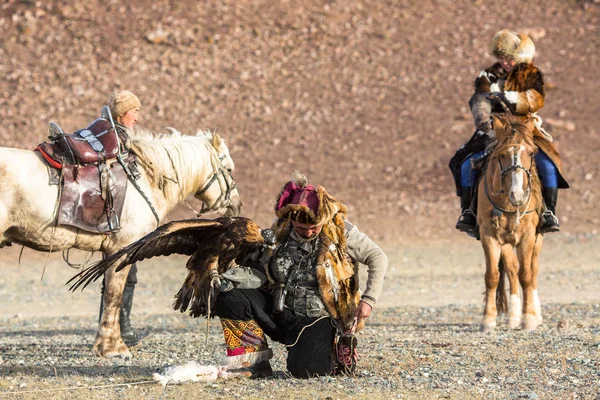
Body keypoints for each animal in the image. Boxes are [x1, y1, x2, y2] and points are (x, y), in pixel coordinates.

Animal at [1, 127, 244, 356]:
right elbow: (114, 294)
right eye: (229, 169)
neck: (146, 178)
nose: (238, 204)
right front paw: (112, 346)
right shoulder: (121, 248)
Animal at [478, 115, 544, 332]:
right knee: (512, 269)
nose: (518, 195)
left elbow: (526, 275)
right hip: (506, 241)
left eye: (531, 152)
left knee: (533, 269)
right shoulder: (489, 235)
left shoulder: (528, 235)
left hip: (538, 239)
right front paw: (488, 320)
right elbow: (492, 276)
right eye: (502, 154)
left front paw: (529, 318)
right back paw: (513, 316)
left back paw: (535, 313)